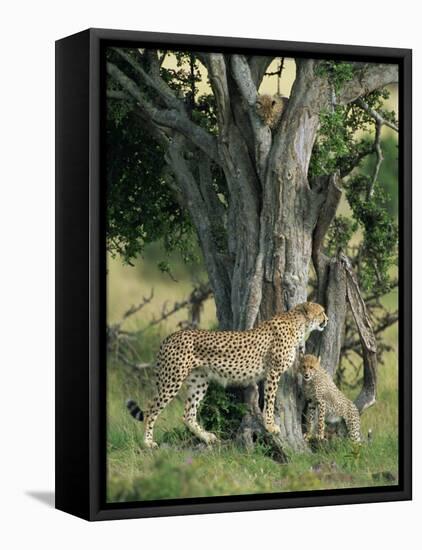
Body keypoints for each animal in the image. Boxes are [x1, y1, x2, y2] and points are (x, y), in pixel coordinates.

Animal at [127, 302, 328, 448]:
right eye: (321, 312)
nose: (326, 319)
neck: (298, 324)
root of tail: (170, 337)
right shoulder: (273, 372)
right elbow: (270, 400)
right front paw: (271, 426)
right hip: (173, 380)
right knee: (151, 408)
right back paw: (147, 442)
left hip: (198, 381)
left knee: (188, 414)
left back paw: (207, 437)